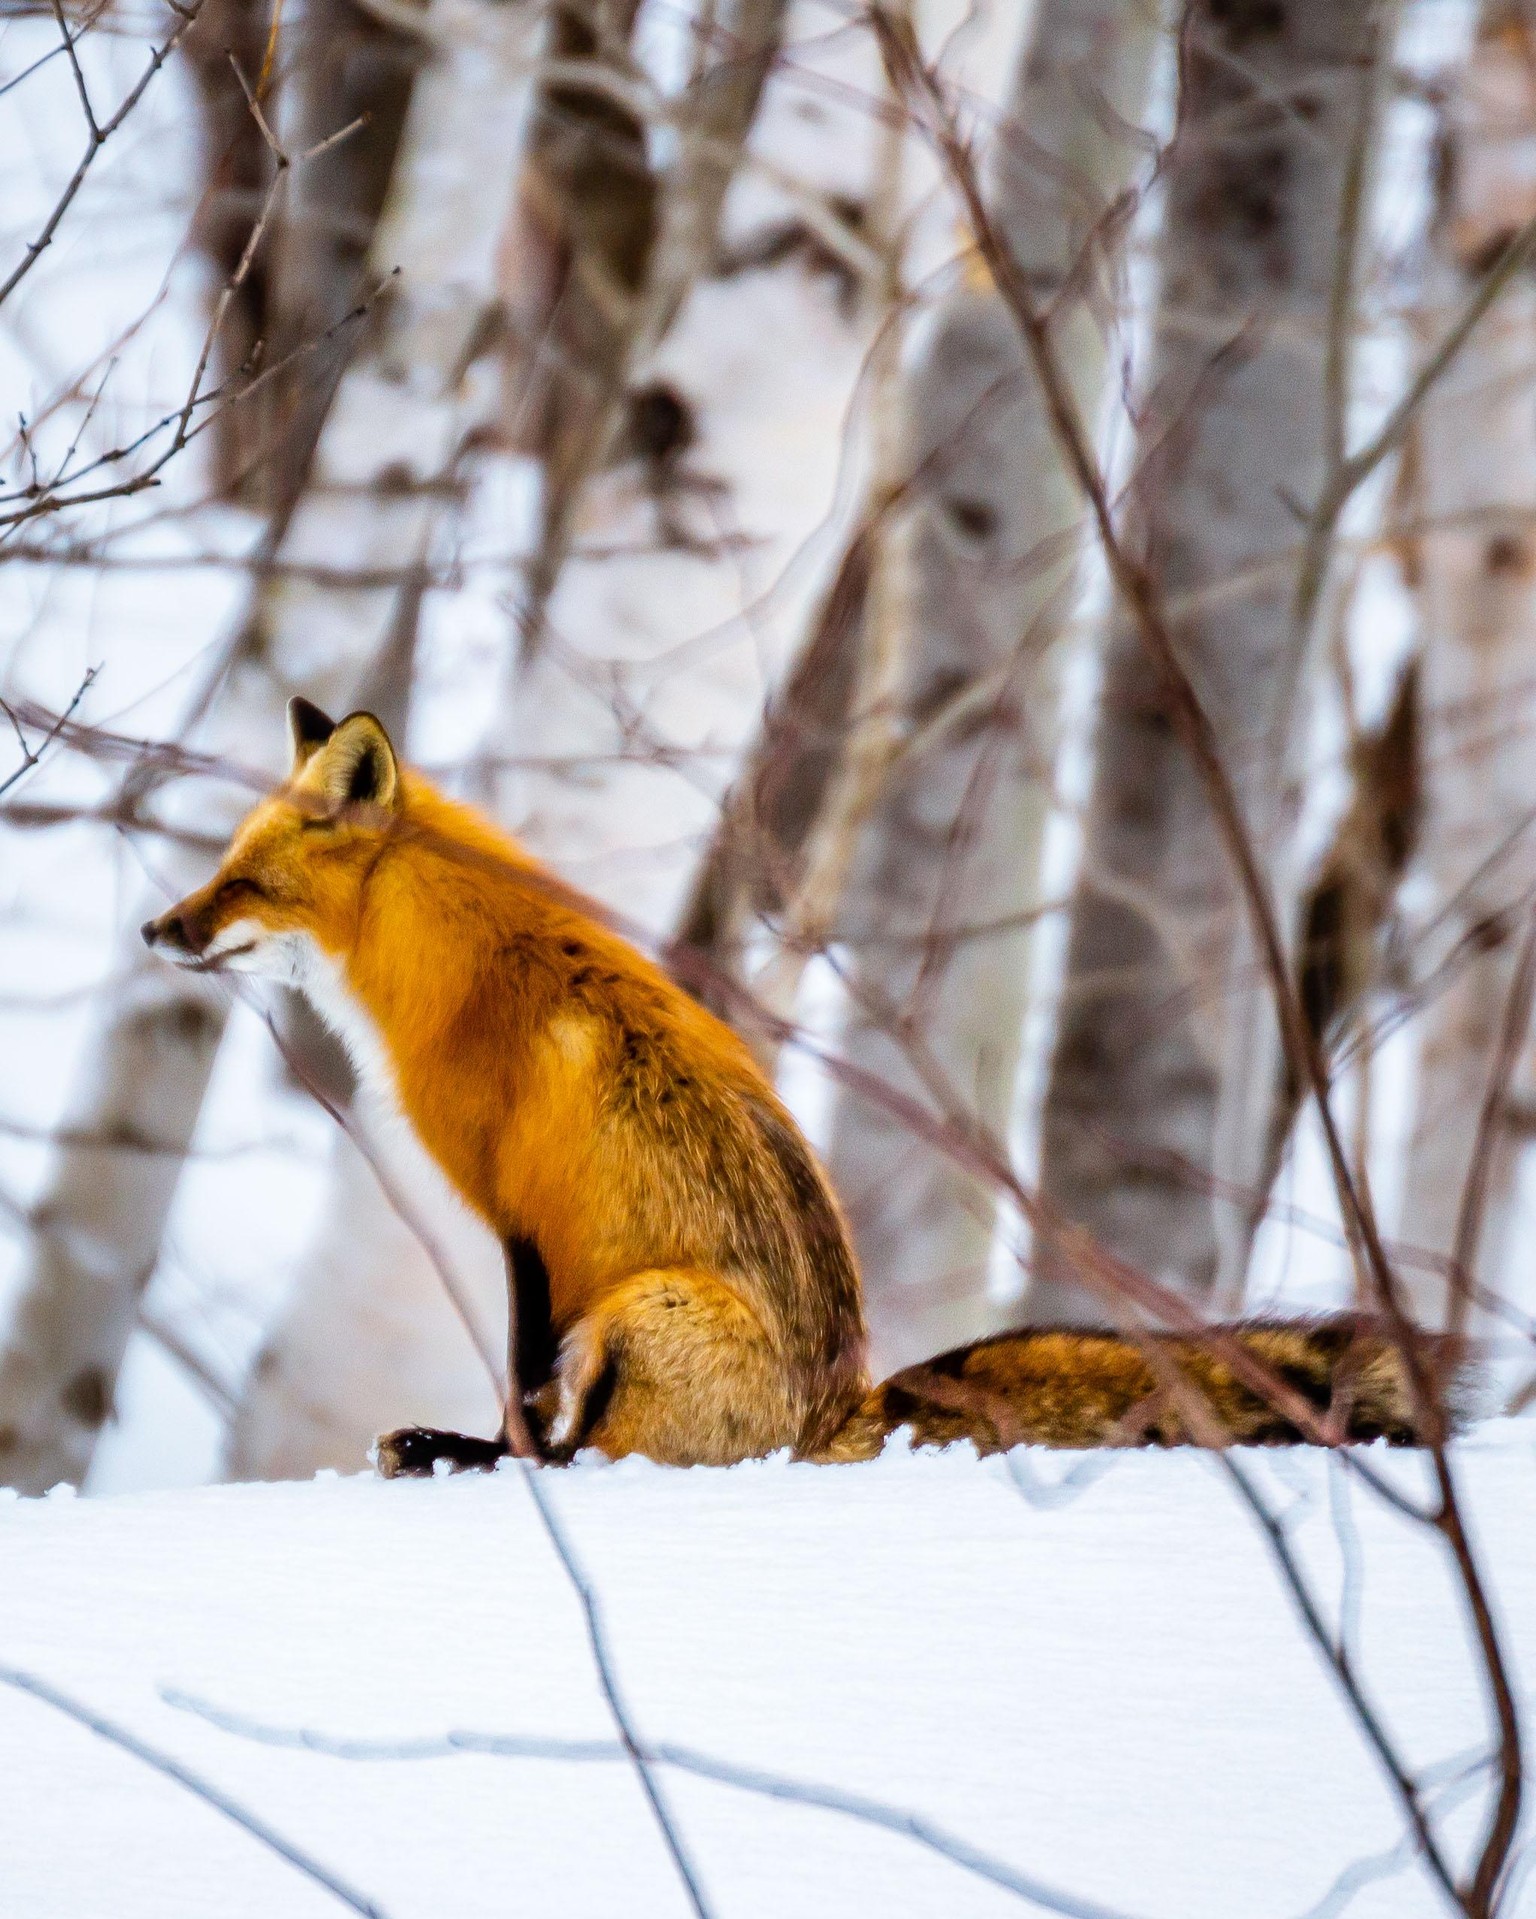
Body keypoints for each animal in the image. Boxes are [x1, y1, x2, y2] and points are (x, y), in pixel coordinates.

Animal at [142, 700, 1451, 1473]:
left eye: (243, 878)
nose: (156, 927)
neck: (449, 965)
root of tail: (842, 1407)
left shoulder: (520, 1222)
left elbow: (521, 1393)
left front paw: (477, 1450)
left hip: (638, 1306)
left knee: (592, 1455)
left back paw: (458, 1451)